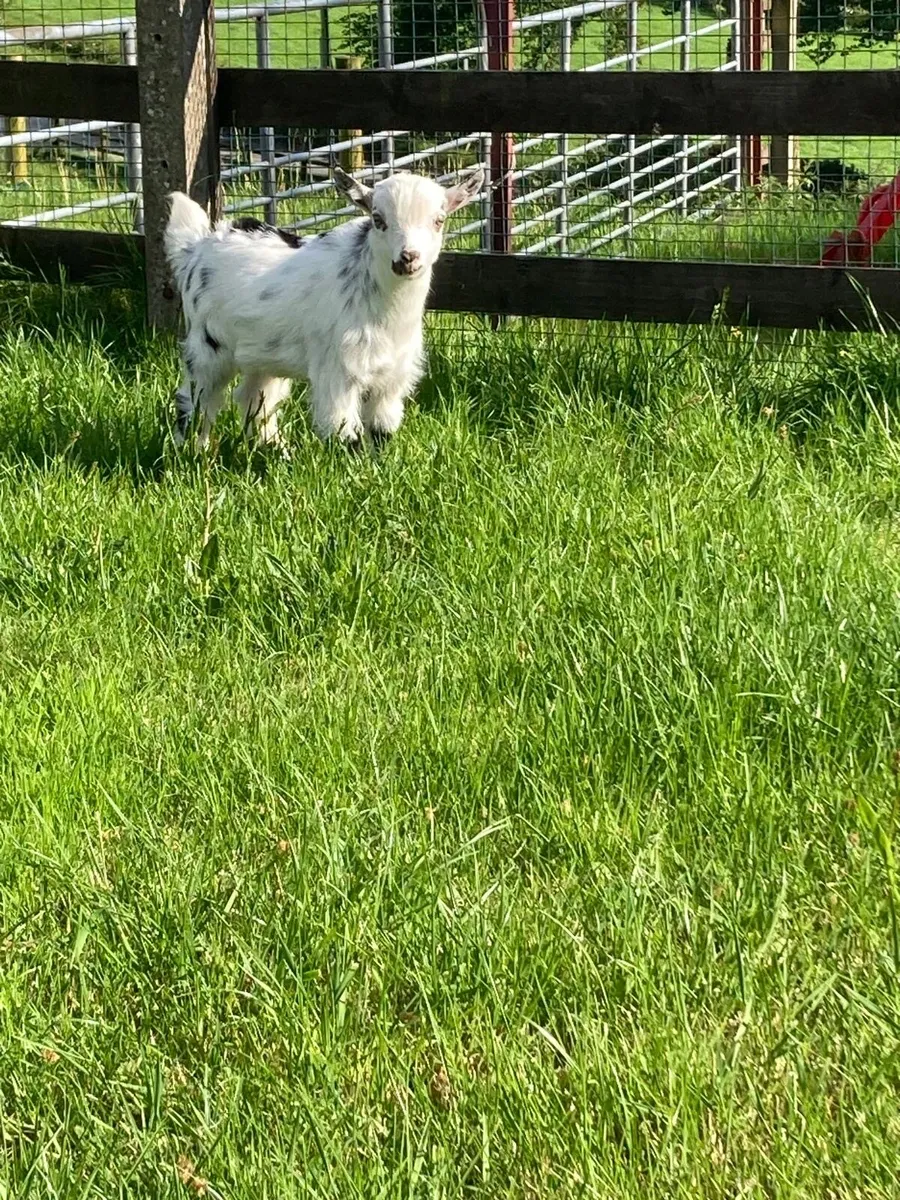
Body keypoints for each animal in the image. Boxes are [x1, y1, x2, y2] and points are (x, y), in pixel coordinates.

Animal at [164, 166, 484, 452]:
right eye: (378, 219)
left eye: (439, 220)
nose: (408, 258)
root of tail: (195, 247)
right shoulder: (338, 369)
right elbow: (345, 432)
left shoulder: (392, 377)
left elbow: (382, 430)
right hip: (207, 345)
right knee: (195, 400)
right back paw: (192, 453)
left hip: (262, 351)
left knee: (255, 398)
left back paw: (276, 450)